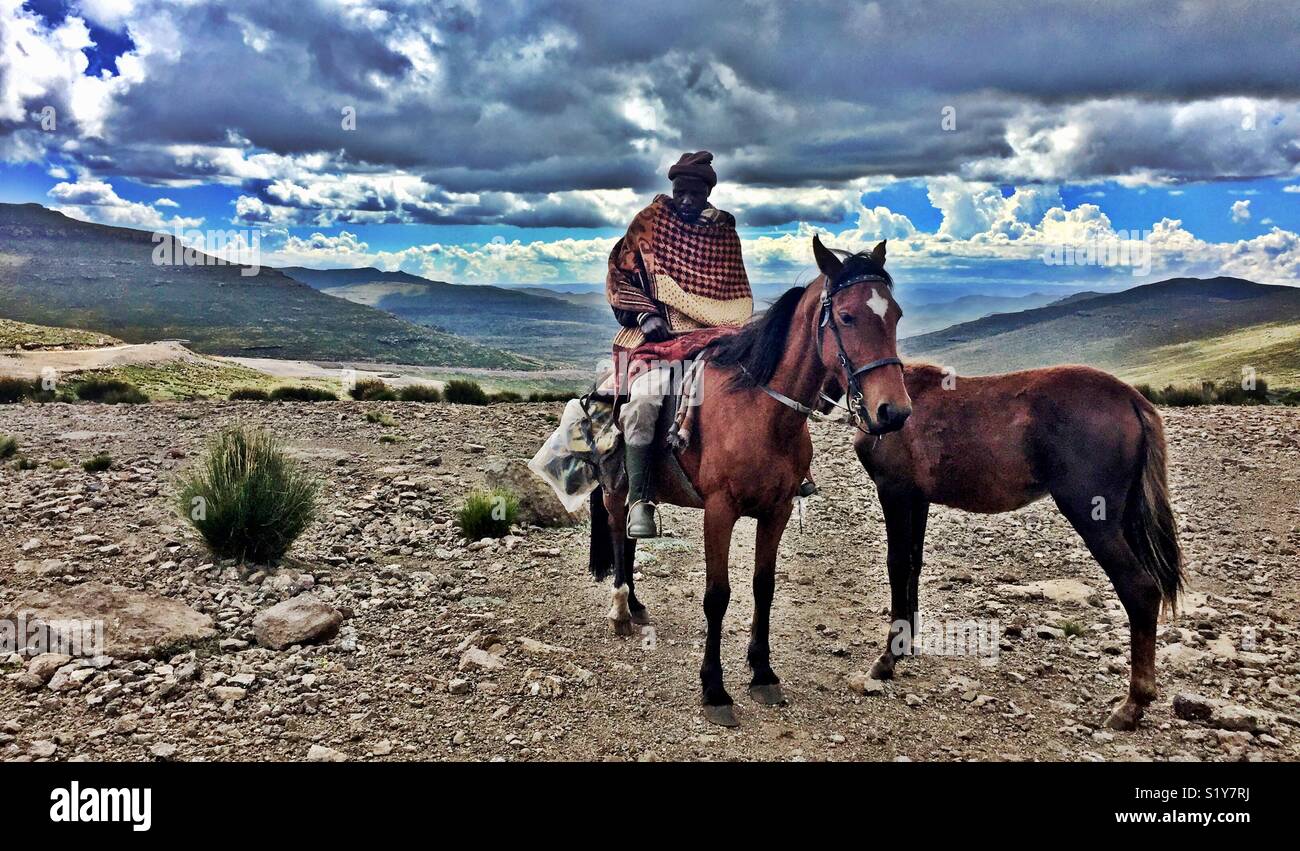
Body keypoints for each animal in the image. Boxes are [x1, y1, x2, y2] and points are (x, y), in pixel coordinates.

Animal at [590, 237, 915, 727]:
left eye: (895, 315)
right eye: (846, 317)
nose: (893, 412)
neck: (761, 413)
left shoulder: (776, 511)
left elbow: (765, 587)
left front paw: (762, 672)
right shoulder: (719, 511)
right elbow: (717, 596)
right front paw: (715, 689)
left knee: (629, 536)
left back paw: (638, 605)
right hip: (615, 488)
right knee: (615, 532)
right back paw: (620, 608)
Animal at [847, 363, 1185, 727]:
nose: (889, 412)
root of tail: (1131, 398)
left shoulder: (893, 492)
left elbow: (897, 565)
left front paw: (888, 658)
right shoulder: (916, 499)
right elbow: (913, 565)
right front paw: (906, 645)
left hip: (1095, 520)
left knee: (1140, 590)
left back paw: (1133, 703)